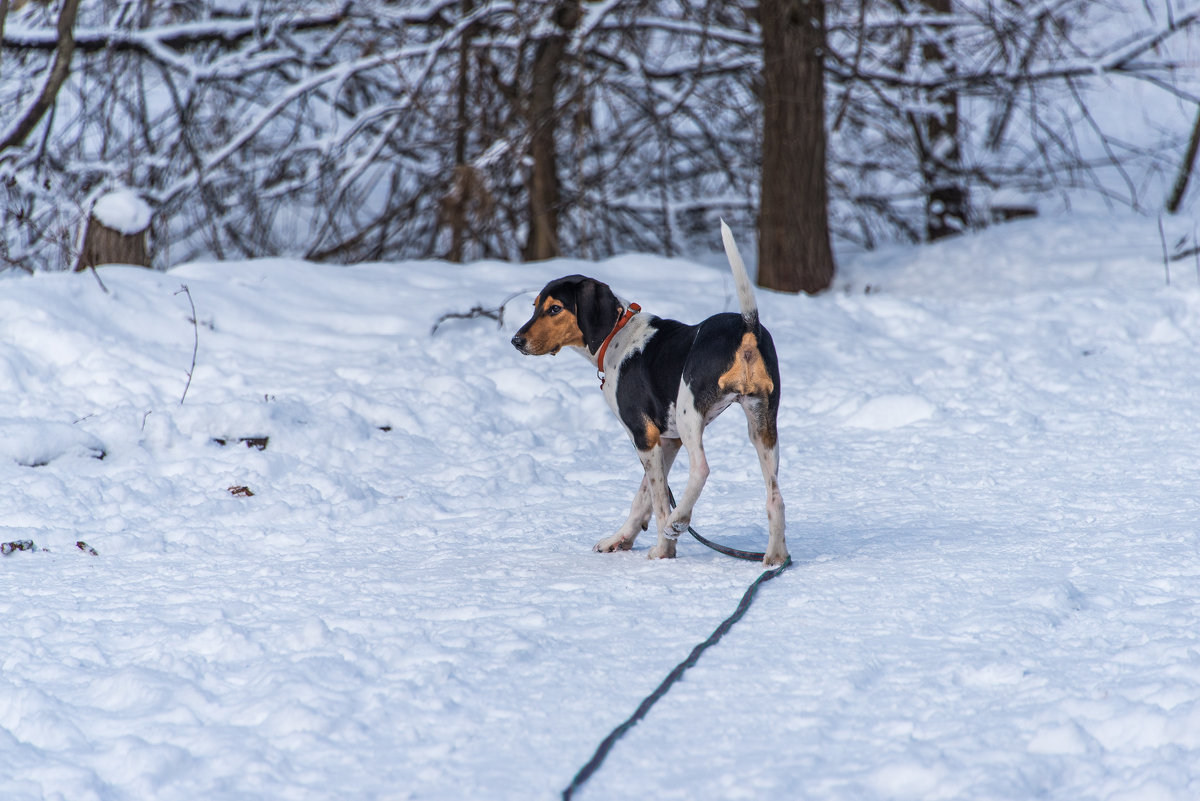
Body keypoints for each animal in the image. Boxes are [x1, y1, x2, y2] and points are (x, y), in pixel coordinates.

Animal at [506, 221, 787, 565]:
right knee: (775, 497)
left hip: (690, 414)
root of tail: (747, 326)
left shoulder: (644, 436)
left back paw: (678, 522)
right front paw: (621, 538)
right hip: (762, 425)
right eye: (534, 307)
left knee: (701, 469)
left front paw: (664, 550)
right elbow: (642, 498)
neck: (616, 335)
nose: (516, 341)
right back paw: (776, 556)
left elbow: (657, 500)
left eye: (555, 309)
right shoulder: (666, 439)